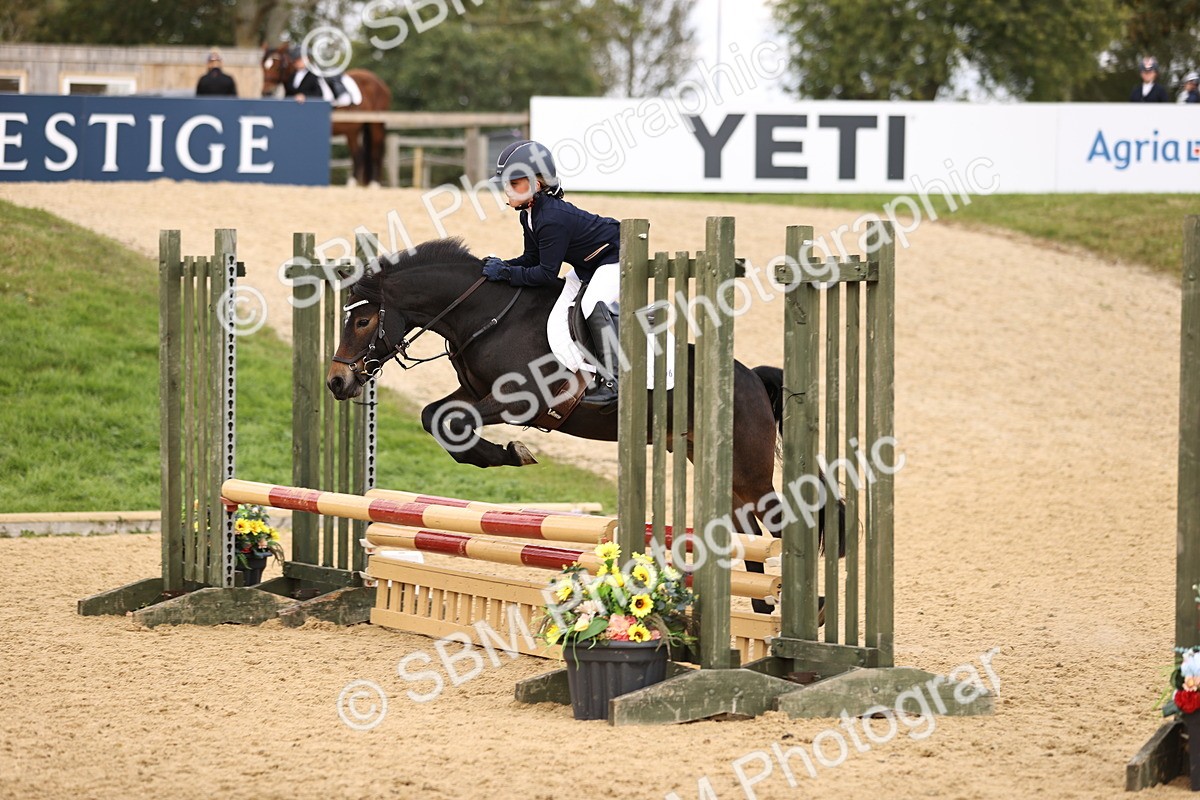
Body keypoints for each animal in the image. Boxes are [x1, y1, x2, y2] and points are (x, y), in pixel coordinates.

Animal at [261, 44, 392, 186]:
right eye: (263, 65)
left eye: (278, 67)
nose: (266, 92)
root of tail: (379, 83)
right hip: (352, 130)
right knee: (358, 155)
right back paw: (351, 184)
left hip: (375, 125)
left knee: (375, 153)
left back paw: (374, 184)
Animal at [325, 238, 842, 612]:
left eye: (364, 321)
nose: (336, 382)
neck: (486, 317)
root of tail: (751, 376)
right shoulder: (474, 395)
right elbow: (435, 417)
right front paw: (502, 454)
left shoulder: (526, 400)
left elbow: (449, 421)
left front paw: (511, 452)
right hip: (725, 472)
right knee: (749, 534)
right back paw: (760, 609)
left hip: (749, 471)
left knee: (780, 523)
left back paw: (807, 608)